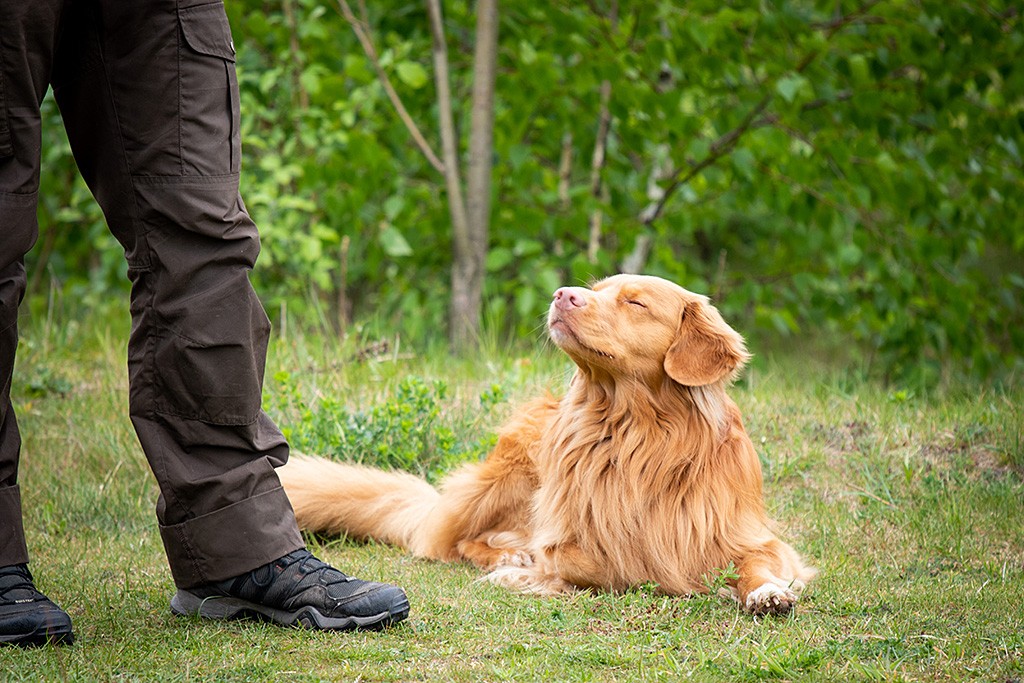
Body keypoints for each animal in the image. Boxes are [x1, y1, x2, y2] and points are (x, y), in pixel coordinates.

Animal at [278, 274, 815, 618]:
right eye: (596, 290)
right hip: (511, 473)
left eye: (635, 303)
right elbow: (597, 565)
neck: (635, 433)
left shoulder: (751, 538)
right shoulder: (572, 541)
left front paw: (767, 593)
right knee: (457, 540)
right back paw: (506, 557)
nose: (563, 294)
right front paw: (524, 573)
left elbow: (757, 566)